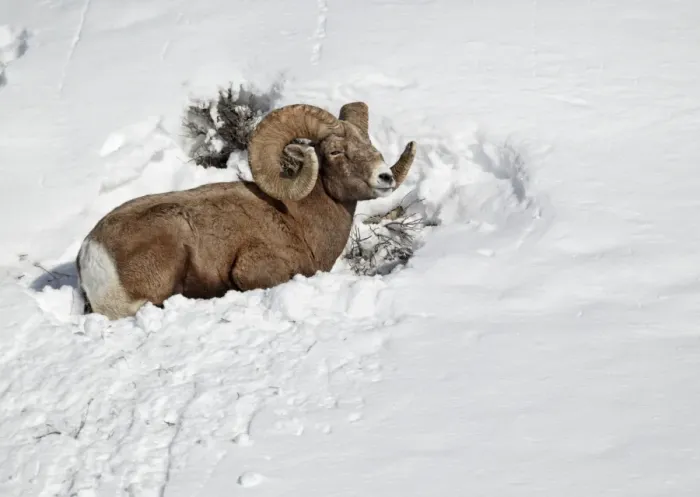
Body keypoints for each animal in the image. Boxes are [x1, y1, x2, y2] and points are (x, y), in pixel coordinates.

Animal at [76, 101, 417, 320]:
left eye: (369, 144)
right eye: (335, 151)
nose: (384, 177)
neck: (298, 218)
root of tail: (93, 253)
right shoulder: (255, 268)